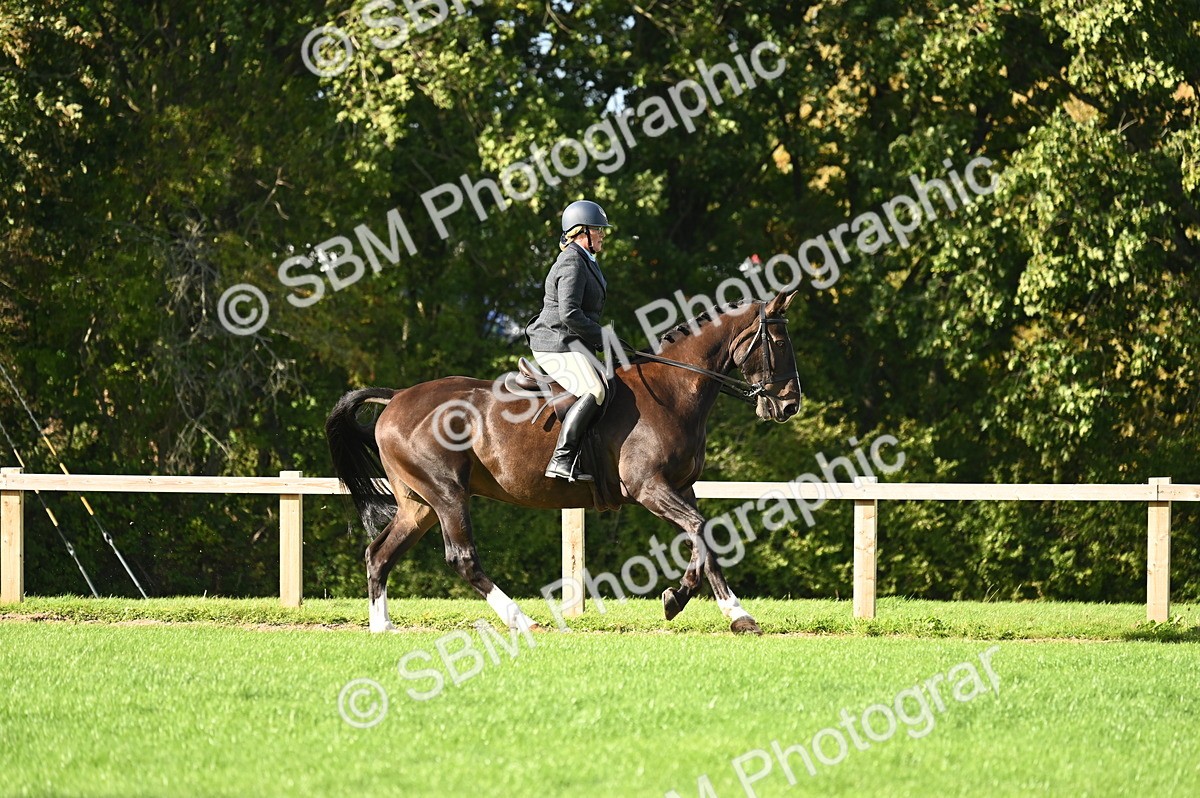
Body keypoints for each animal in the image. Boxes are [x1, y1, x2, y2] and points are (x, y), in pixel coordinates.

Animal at [325, 290, 803, 635]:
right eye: (779, 343)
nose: (789, 405)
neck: (673, 389)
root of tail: (396, 398)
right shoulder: (650, 488)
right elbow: (702, 533)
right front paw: (707, 607)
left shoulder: (681, 487)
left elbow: (703, 541)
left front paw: (706, 606)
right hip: (446, 495)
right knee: (462, 558)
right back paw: (523, 620)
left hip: (418, 504)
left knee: (379, 554)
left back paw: (382, 627)